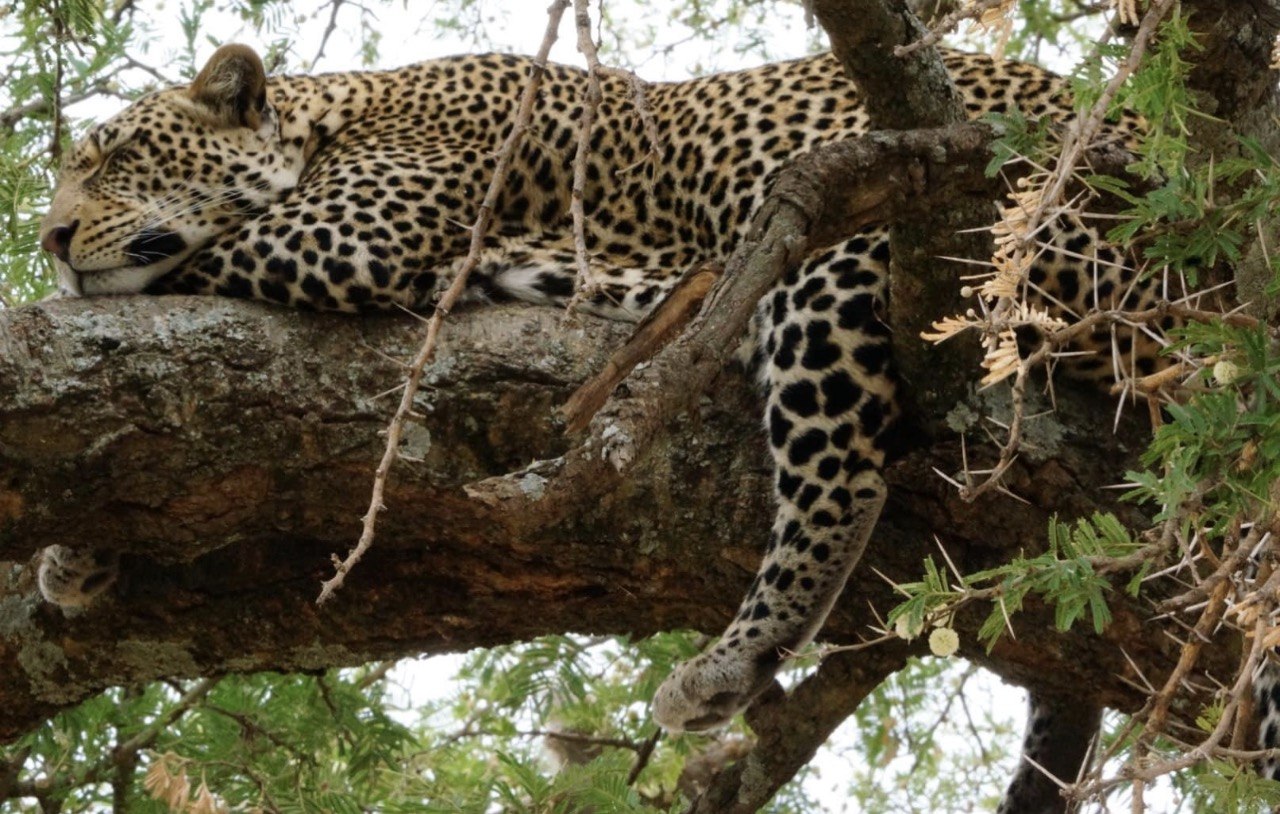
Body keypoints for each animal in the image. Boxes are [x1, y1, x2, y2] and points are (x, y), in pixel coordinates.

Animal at [35, 40, 1272, 809]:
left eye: (119, 157)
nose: (48, 234)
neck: (339, 110)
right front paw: (81, 553)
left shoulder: (355, 233)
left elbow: (175, 270)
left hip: (846, 253)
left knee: (845, 472)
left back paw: (727, 665)